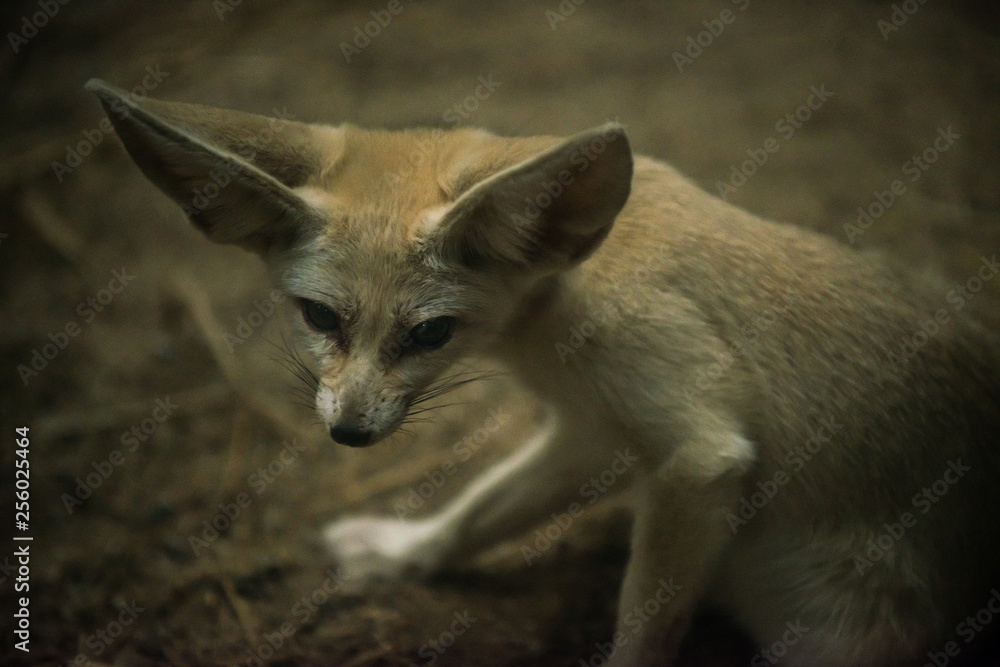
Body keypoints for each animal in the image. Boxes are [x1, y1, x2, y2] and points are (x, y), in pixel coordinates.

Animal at [86, 78, 1000, 666]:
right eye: (319, 318)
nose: (347, 433)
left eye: (431, 332)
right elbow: (480, 512)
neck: (573, 286)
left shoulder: (698, 454)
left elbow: (643, 631)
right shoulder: (591, 432)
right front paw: (406, 553)